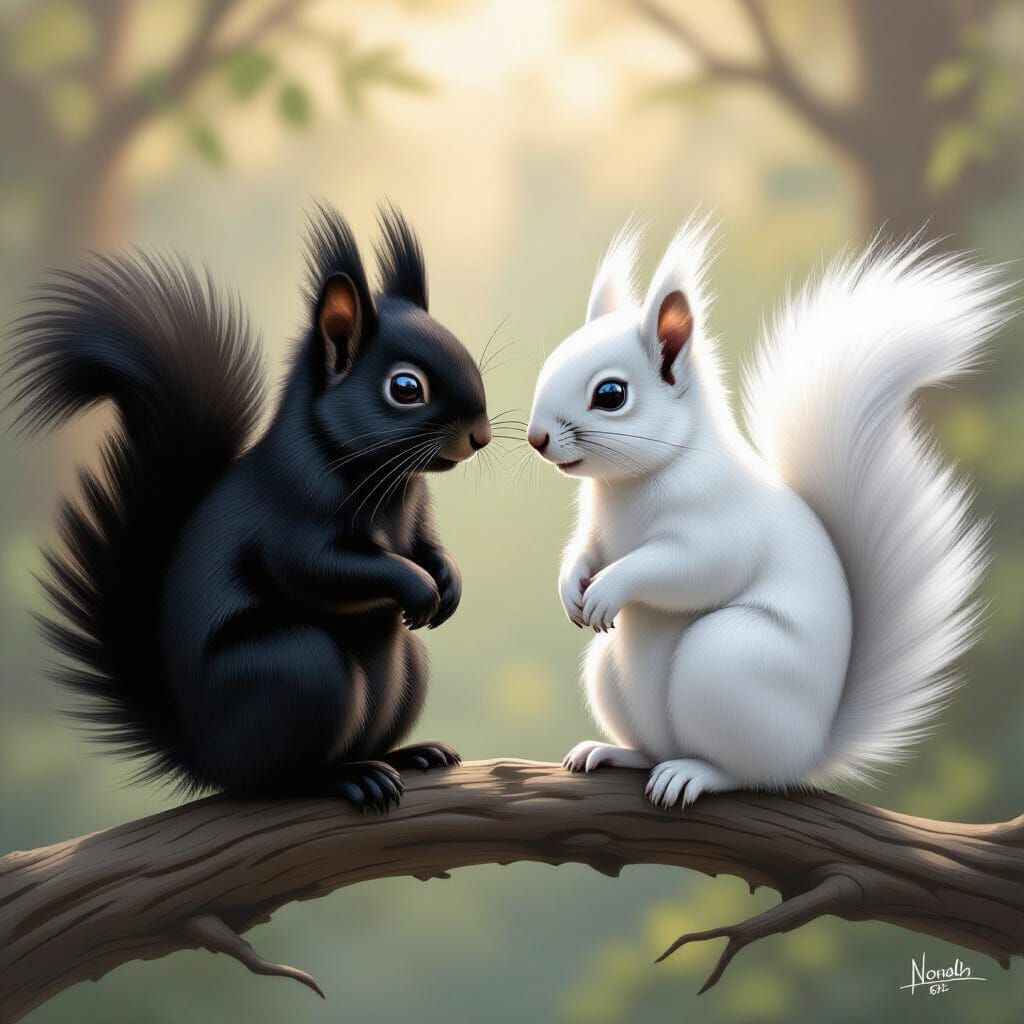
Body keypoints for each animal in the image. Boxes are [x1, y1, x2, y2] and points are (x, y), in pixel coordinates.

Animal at [5, 201, 492, 810]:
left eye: (464, 351)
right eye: (406, 388)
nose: (481, 434)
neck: (389, 483)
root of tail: (206, 756)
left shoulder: (419, 516)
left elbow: (427, 546)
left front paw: (447, 581)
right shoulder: (291, 517)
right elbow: (321, 568)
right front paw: (417, 586)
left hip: (407, 670)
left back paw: (409, 753)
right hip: (299, 672)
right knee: (275, 779)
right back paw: (347, 776)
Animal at [526, 217, 1010, 809]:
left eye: (611, 394)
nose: (536, 438)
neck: (632, 483)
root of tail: (812, 747)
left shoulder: (720, 527)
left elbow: (686, 568)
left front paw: (609, 588)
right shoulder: (596, 530)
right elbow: (585, 551)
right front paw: (571, 587)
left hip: (728, 661)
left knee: (749, 772)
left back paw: (696, 774)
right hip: (610, 675)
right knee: (657, 747)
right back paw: (615, 753)